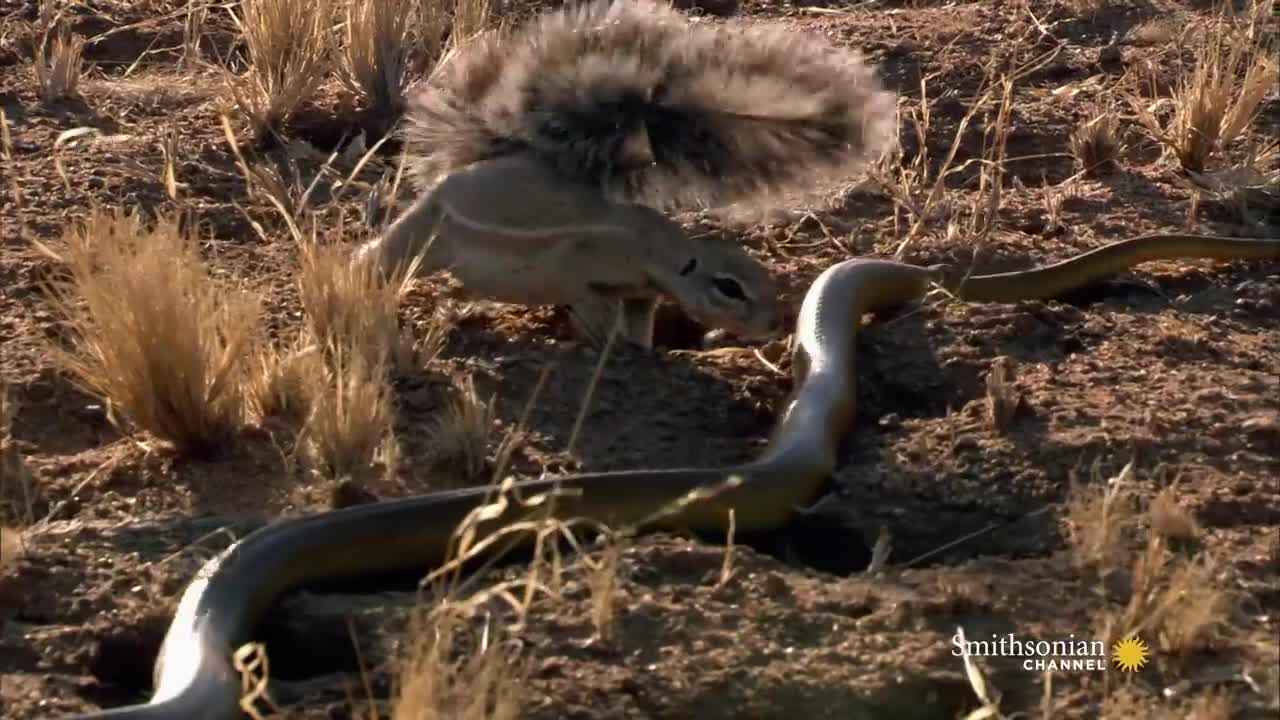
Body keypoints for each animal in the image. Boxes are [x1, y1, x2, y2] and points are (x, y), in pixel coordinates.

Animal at [355, 0, 896, 348]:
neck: (657, 251)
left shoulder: (642, 297)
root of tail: (453, 177)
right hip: (426, 237)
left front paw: (639, 351)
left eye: (760, 276)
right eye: (729, 287)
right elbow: (581, 293)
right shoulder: (582, 262)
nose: (773, 324)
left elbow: (639, 324)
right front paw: (602, 338)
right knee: (383, 256)